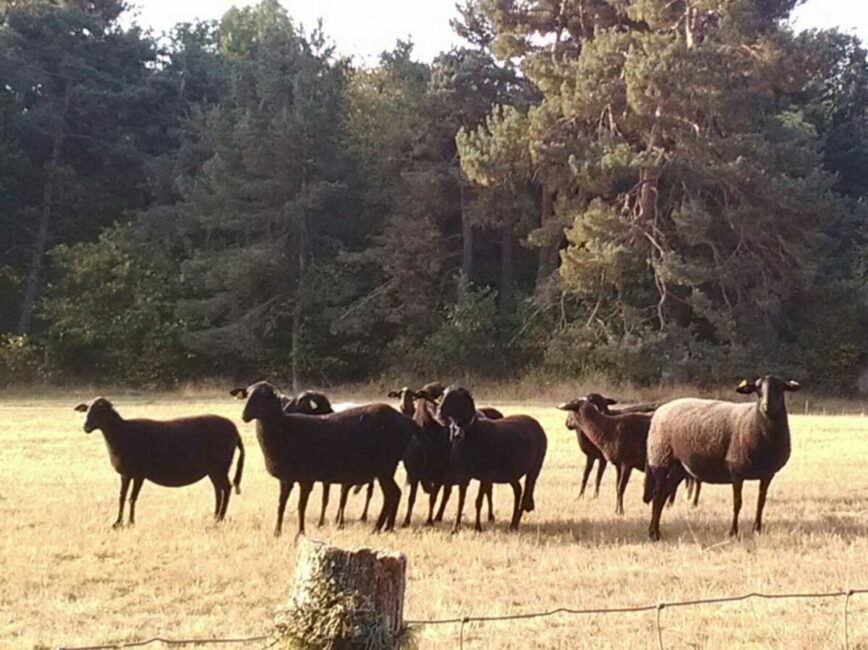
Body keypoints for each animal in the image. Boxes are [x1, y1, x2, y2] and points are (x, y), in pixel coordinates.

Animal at [74, 394, 244, 528]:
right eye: (87, 409)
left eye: (101, 410)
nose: (85, 426)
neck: (122, 433)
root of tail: (236, 431)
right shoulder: (126, 474)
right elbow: (122, 497)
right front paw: (117, 523)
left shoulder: (138, 473)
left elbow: (132, 498)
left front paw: (130, 523)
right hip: (213, 469)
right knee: (218, 489)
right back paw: (215, 517)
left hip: (221, 465)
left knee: (226, 488)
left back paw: (220, 518)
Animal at [438, 384, 544, 532]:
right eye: (443, 394)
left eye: (455, 397)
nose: (439, 412)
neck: (471, 431)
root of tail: (537, 424)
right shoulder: (463, 475)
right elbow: (461, 501)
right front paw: (455, 527)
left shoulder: (486, 476)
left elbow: (478, 501)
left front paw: (478, 527)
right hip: (511, 472)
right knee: (518, 491)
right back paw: (512, 523)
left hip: (535, 469)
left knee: (525, 494)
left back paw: (515, 524)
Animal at [644, 372, 800, 540]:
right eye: (758, 389)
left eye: (780, 388)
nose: (767, 406)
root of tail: (661, 409)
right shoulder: (737, 469)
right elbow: (737, 503)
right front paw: (733, 532)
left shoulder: (768, 474)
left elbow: (761, 502)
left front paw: (757, 529)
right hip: (660, 458)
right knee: (657, 496)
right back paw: (653, 533)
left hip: (678, 467)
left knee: (663, 494)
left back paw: (655, 532)